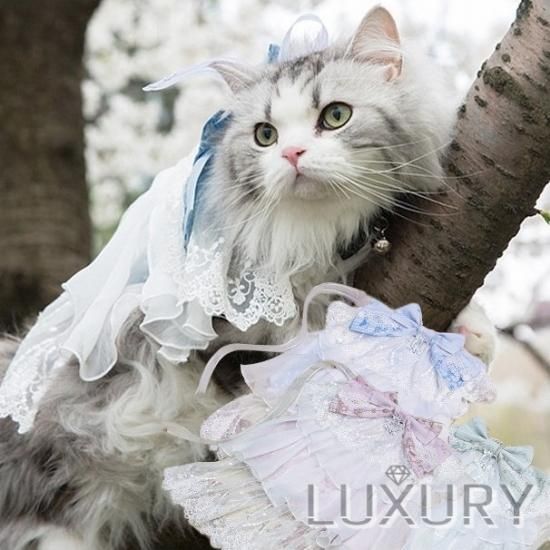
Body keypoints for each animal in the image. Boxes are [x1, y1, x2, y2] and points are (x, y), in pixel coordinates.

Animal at [0, 5, 496, 550]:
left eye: (335, 116)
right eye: (265, 135)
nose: (292, 154)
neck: (312, 236)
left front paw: (472, 336)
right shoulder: (217, 328)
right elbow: (277, 363)